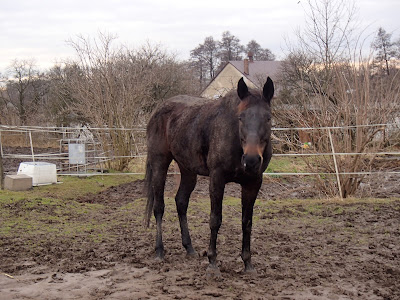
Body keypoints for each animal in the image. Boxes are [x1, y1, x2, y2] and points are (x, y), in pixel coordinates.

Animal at [145, 77, 276, 274]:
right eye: (240, 118)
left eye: (268, 118)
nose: (251, 160)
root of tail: (157, 110)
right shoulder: (217, 180)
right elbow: (215, 220)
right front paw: (212, 263)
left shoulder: (253, 183)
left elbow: (247, 222)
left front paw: (248, 264)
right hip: (160, 164)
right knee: (159, 207)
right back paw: (160, 251)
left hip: (188, 170)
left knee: (181, 202)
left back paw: (189, 248)